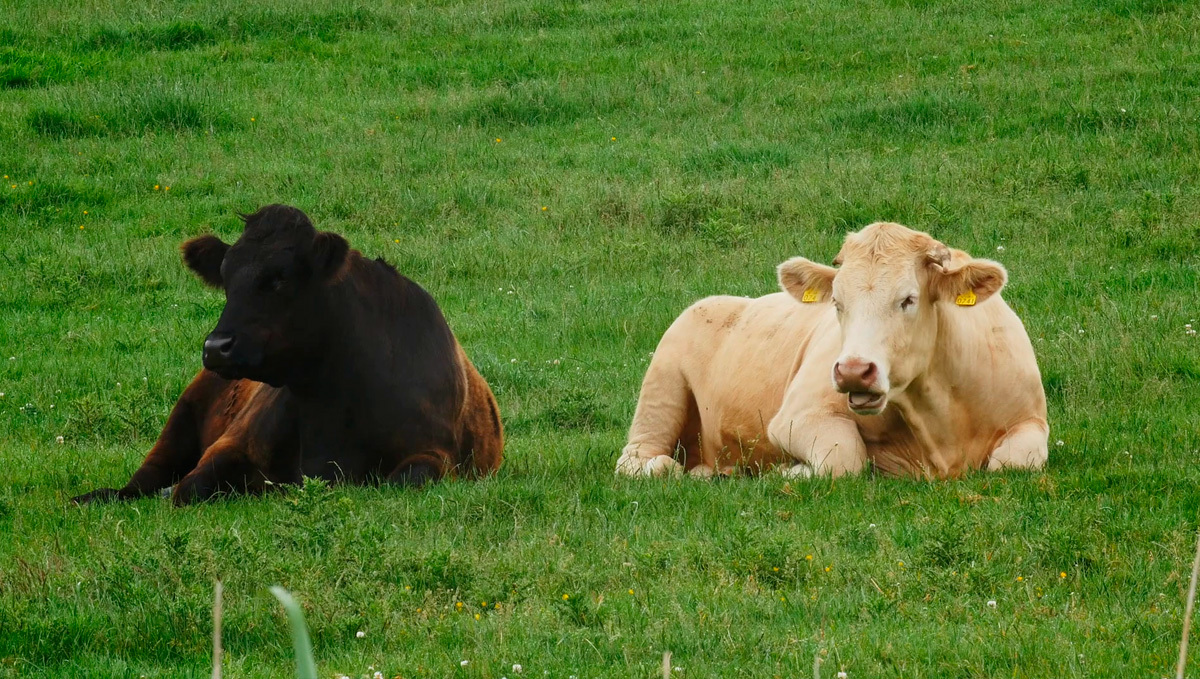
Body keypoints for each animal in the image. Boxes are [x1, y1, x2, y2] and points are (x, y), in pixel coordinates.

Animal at [72, 204, 503, 505]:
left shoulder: (434, 454)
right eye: (225, 278)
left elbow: (404, 479)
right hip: (179, 422)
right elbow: (191, 487)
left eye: (279, 279)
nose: (216, 347)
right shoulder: (232, 443)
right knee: (143, 482)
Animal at [615, 221, 1048, 479]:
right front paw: (790, 472)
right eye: (837, 302)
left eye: (908, 299)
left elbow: (1014, 462)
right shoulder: (795, 415)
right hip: (662, 387)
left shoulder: (1031, 420)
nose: (854, 370)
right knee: (639, 459)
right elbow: (845, 459)